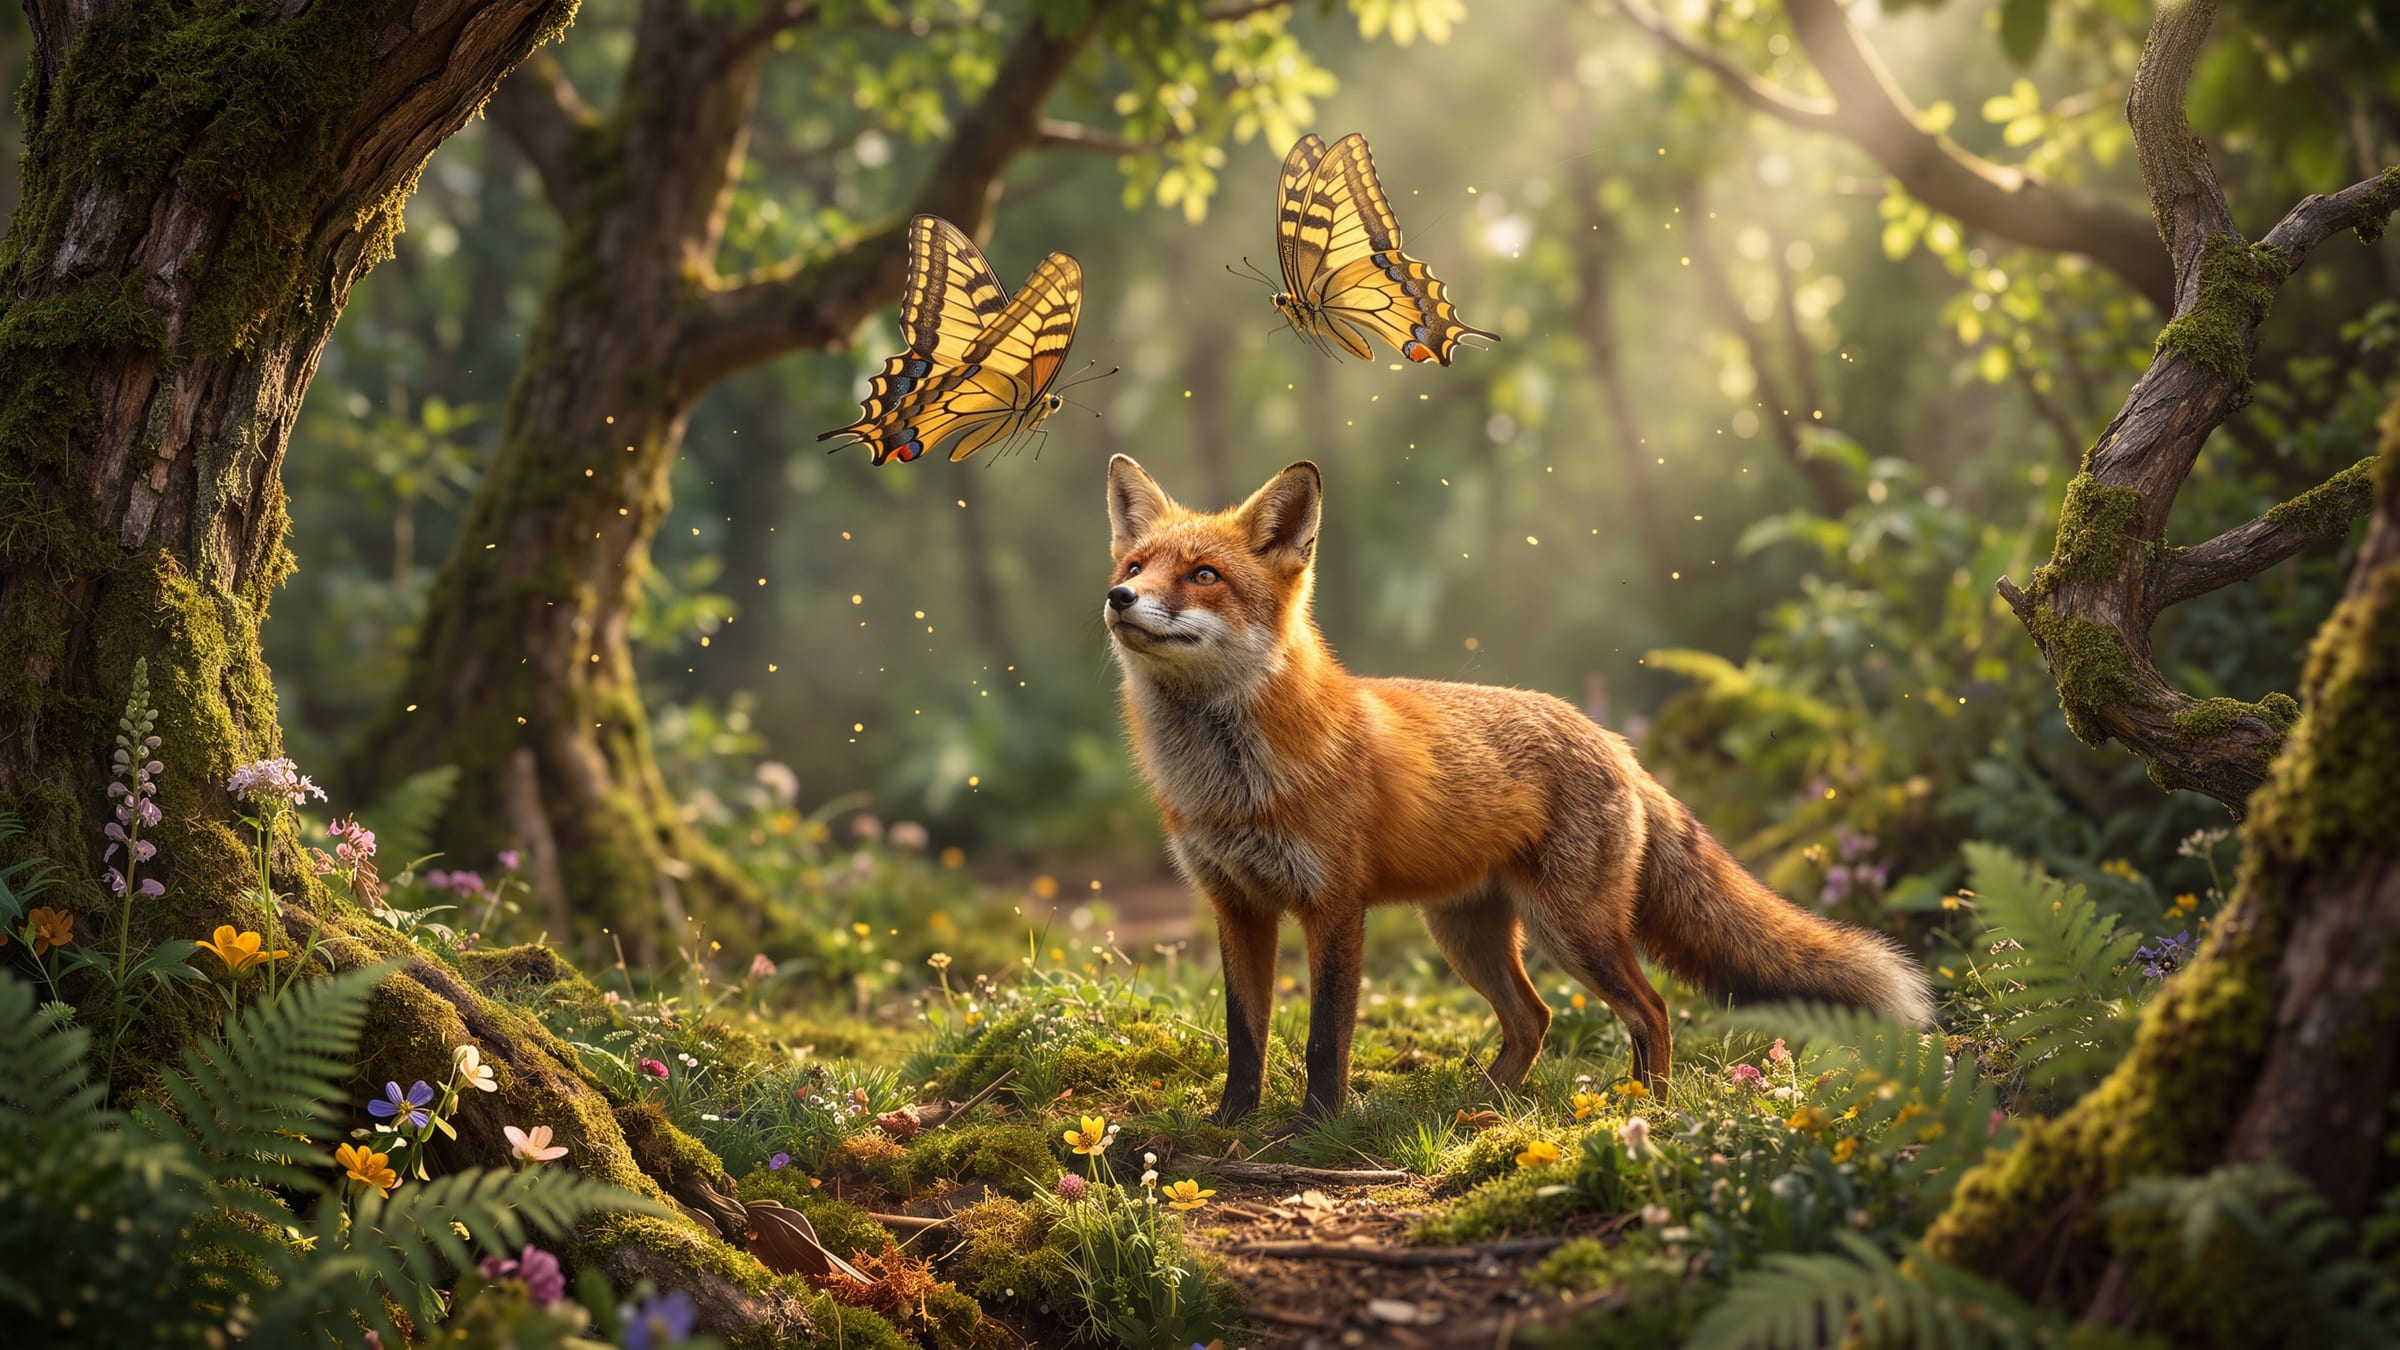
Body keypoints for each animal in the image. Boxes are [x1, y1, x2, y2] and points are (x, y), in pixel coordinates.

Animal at [1101, 454, 1935, 1123]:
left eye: (1204, 576)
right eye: (1137, 567)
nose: (1118, 598)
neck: (1230, 784)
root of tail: (1614, 742)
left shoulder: (1332, 906)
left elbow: (1323, 1038)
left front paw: (1316, 1128)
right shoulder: (1237, 906)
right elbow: (1245, 1036)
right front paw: (1231, 1124)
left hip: (1573, 931)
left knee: (1652, 1009)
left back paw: (1645, 1111)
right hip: (1467, 934)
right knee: (1534, 1020)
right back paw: (1482, 1105)